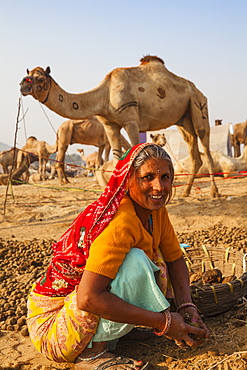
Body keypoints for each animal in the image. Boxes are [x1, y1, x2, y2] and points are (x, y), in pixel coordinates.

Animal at [20, 55, 219, 197]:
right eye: (27, 75)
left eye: (39, 79)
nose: (22, 85)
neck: (104, 96)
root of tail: (197, 90)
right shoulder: (110, 125)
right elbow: (117, 159)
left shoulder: (131, 121)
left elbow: (135, 153)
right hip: (184, 120)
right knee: (194, 151)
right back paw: (186, 192)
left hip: (198, 104)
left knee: (205, 144)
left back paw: (214, 193)